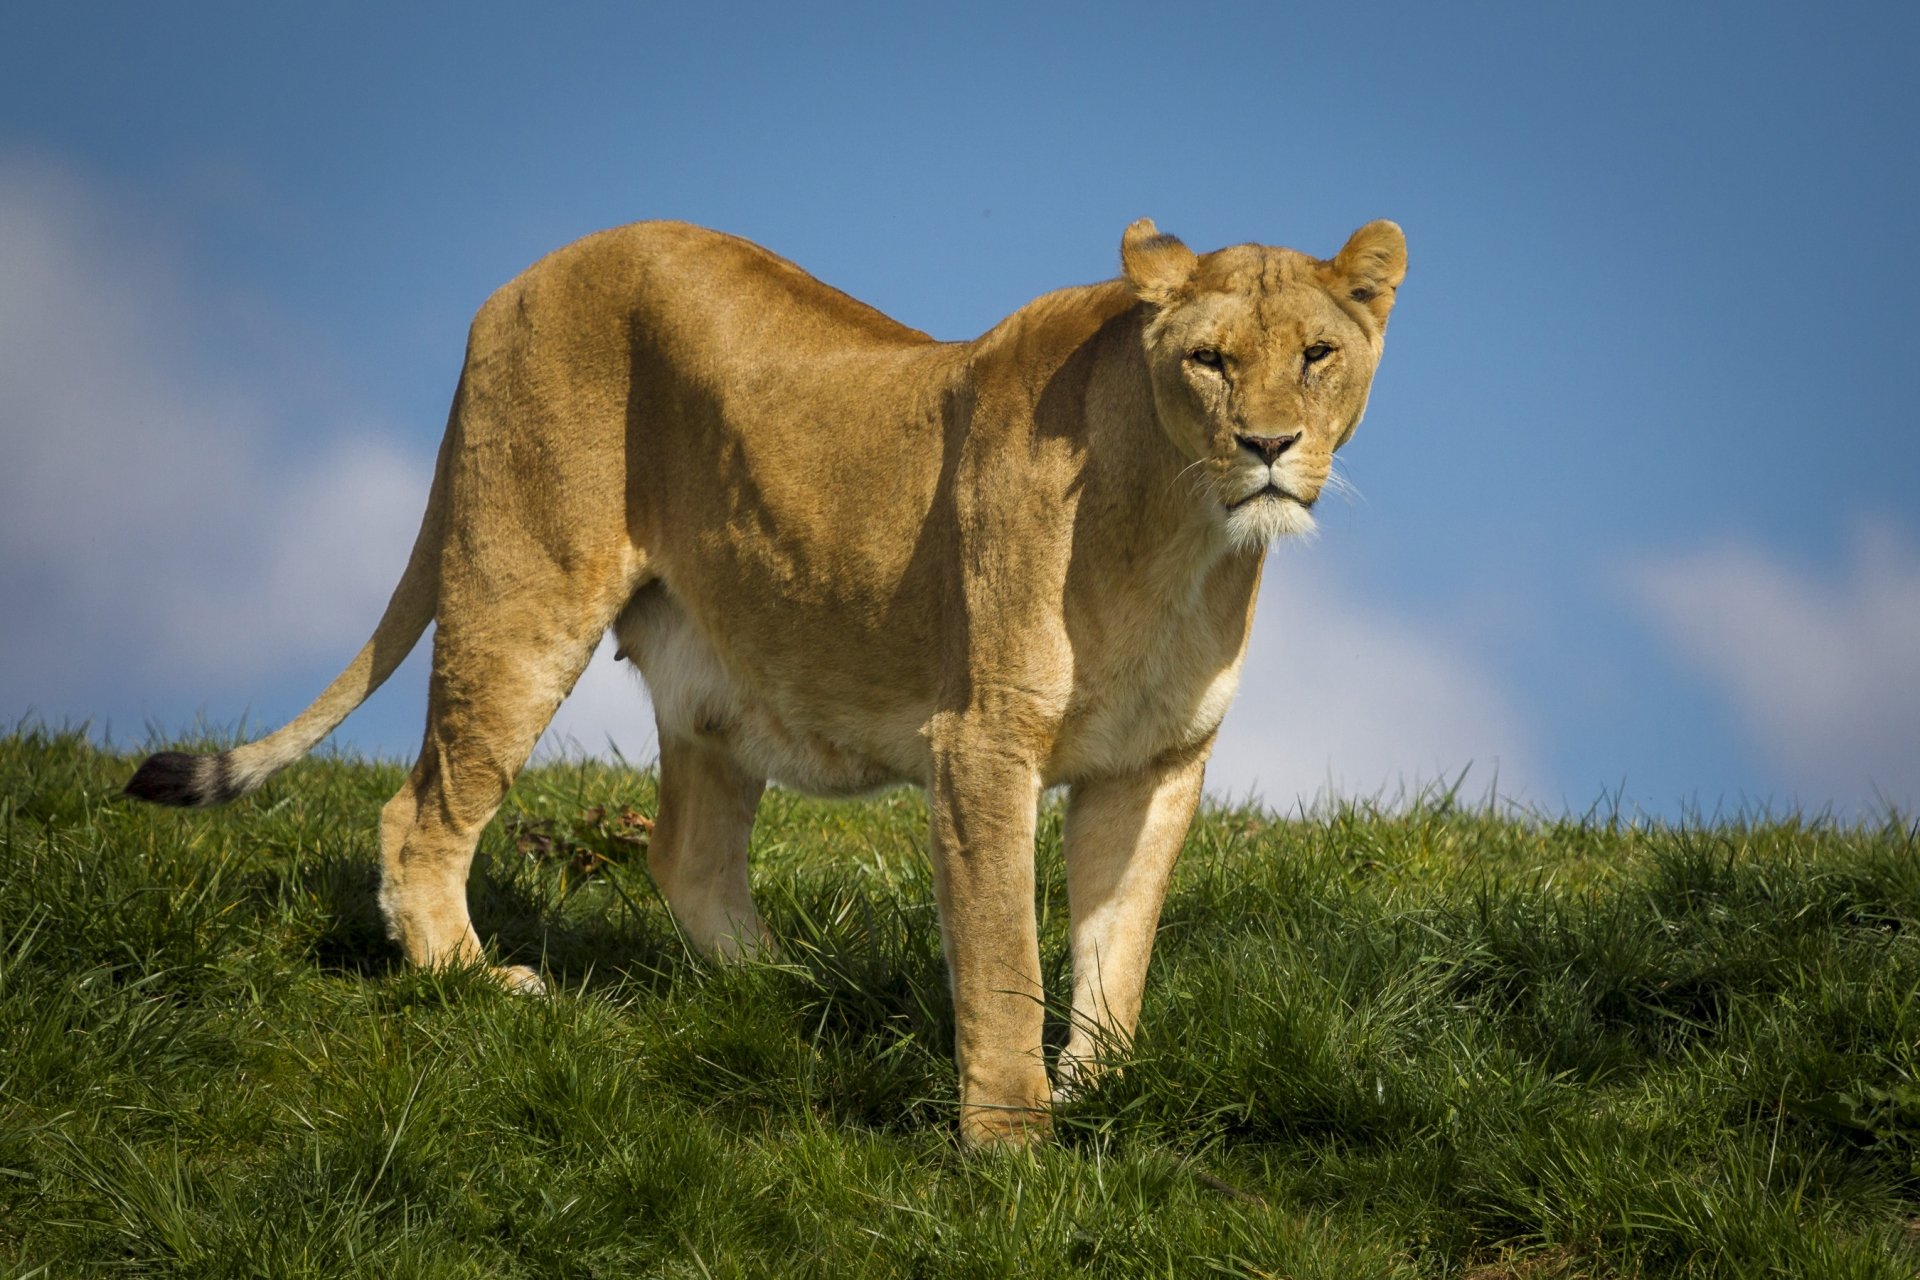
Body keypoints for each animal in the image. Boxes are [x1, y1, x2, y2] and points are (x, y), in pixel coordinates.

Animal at [124, 216, 1406, 1145]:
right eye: (1209, 361)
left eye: (1317, 354)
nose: (1269, 447)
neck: (1185, 536)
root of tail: (529, 273)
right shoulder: (980, 741)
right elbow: (1005, 960)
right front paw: (1011, 1148)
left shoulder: (1154, 763)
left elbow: (1116, 948)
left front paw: (1100, 1092)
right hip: (517, 585)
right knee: (422, 809)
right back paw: (475, 980)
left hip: (715, 673)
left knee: (684, 853)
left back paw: (797, 988)